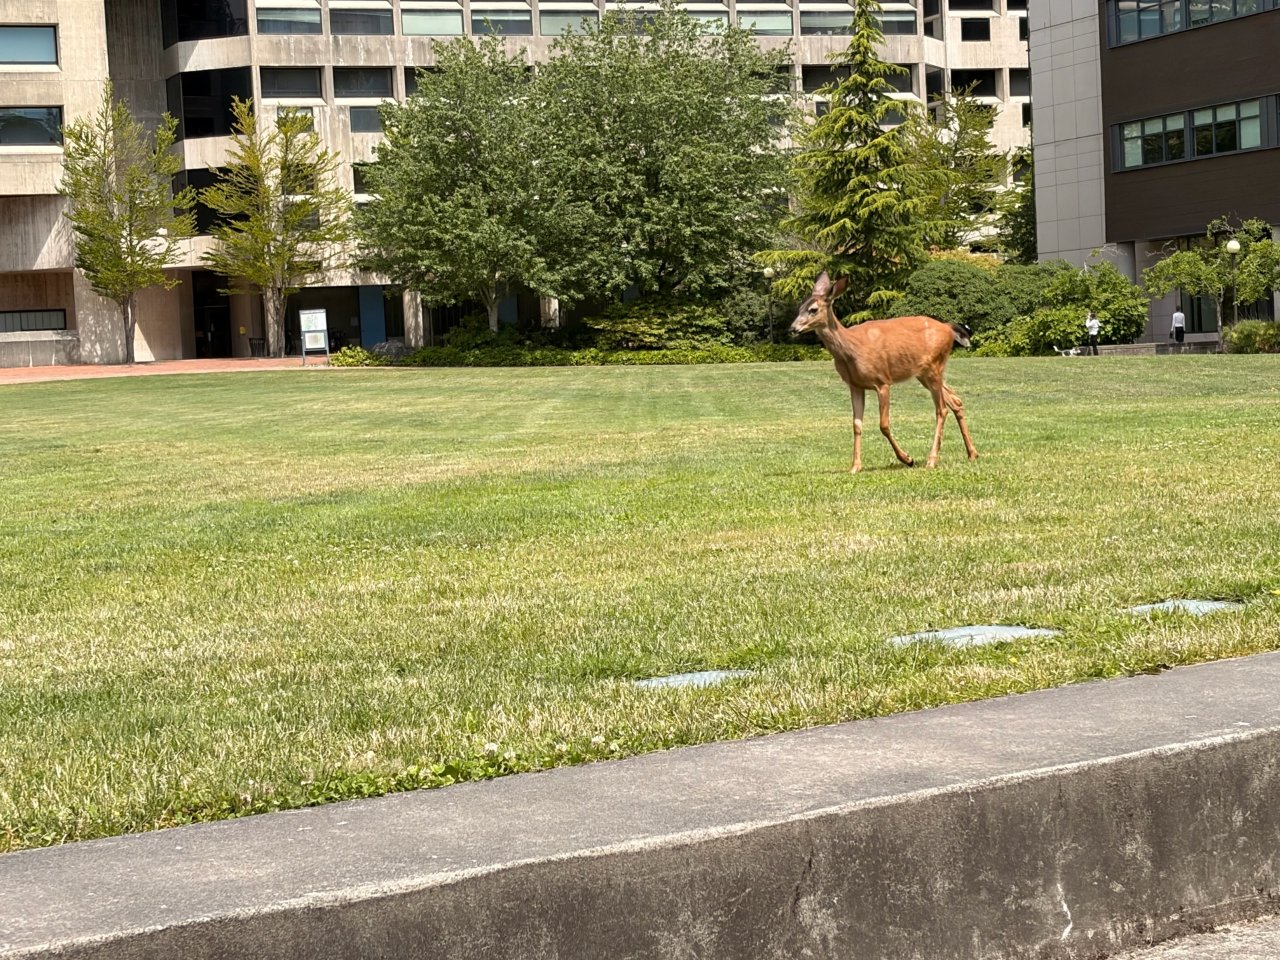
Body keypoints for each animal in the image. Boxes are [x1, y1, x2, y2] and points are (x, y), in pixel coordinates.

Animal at [791, 272, 978, 473]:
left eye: (813, 309)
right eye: (800, 307)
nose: (793, 328)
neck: (851, 348)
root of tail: (948, 328)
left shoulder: (882, 381)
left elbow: (883, 424)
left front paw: (907, 459)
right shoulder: (855, 385)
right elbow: (856, 425)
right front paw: (855, 466)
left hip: (935, 366)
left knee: (941, 409)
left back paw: (931, 460)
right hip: (924, 373)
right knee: (956, 401)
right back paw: (972, 453)